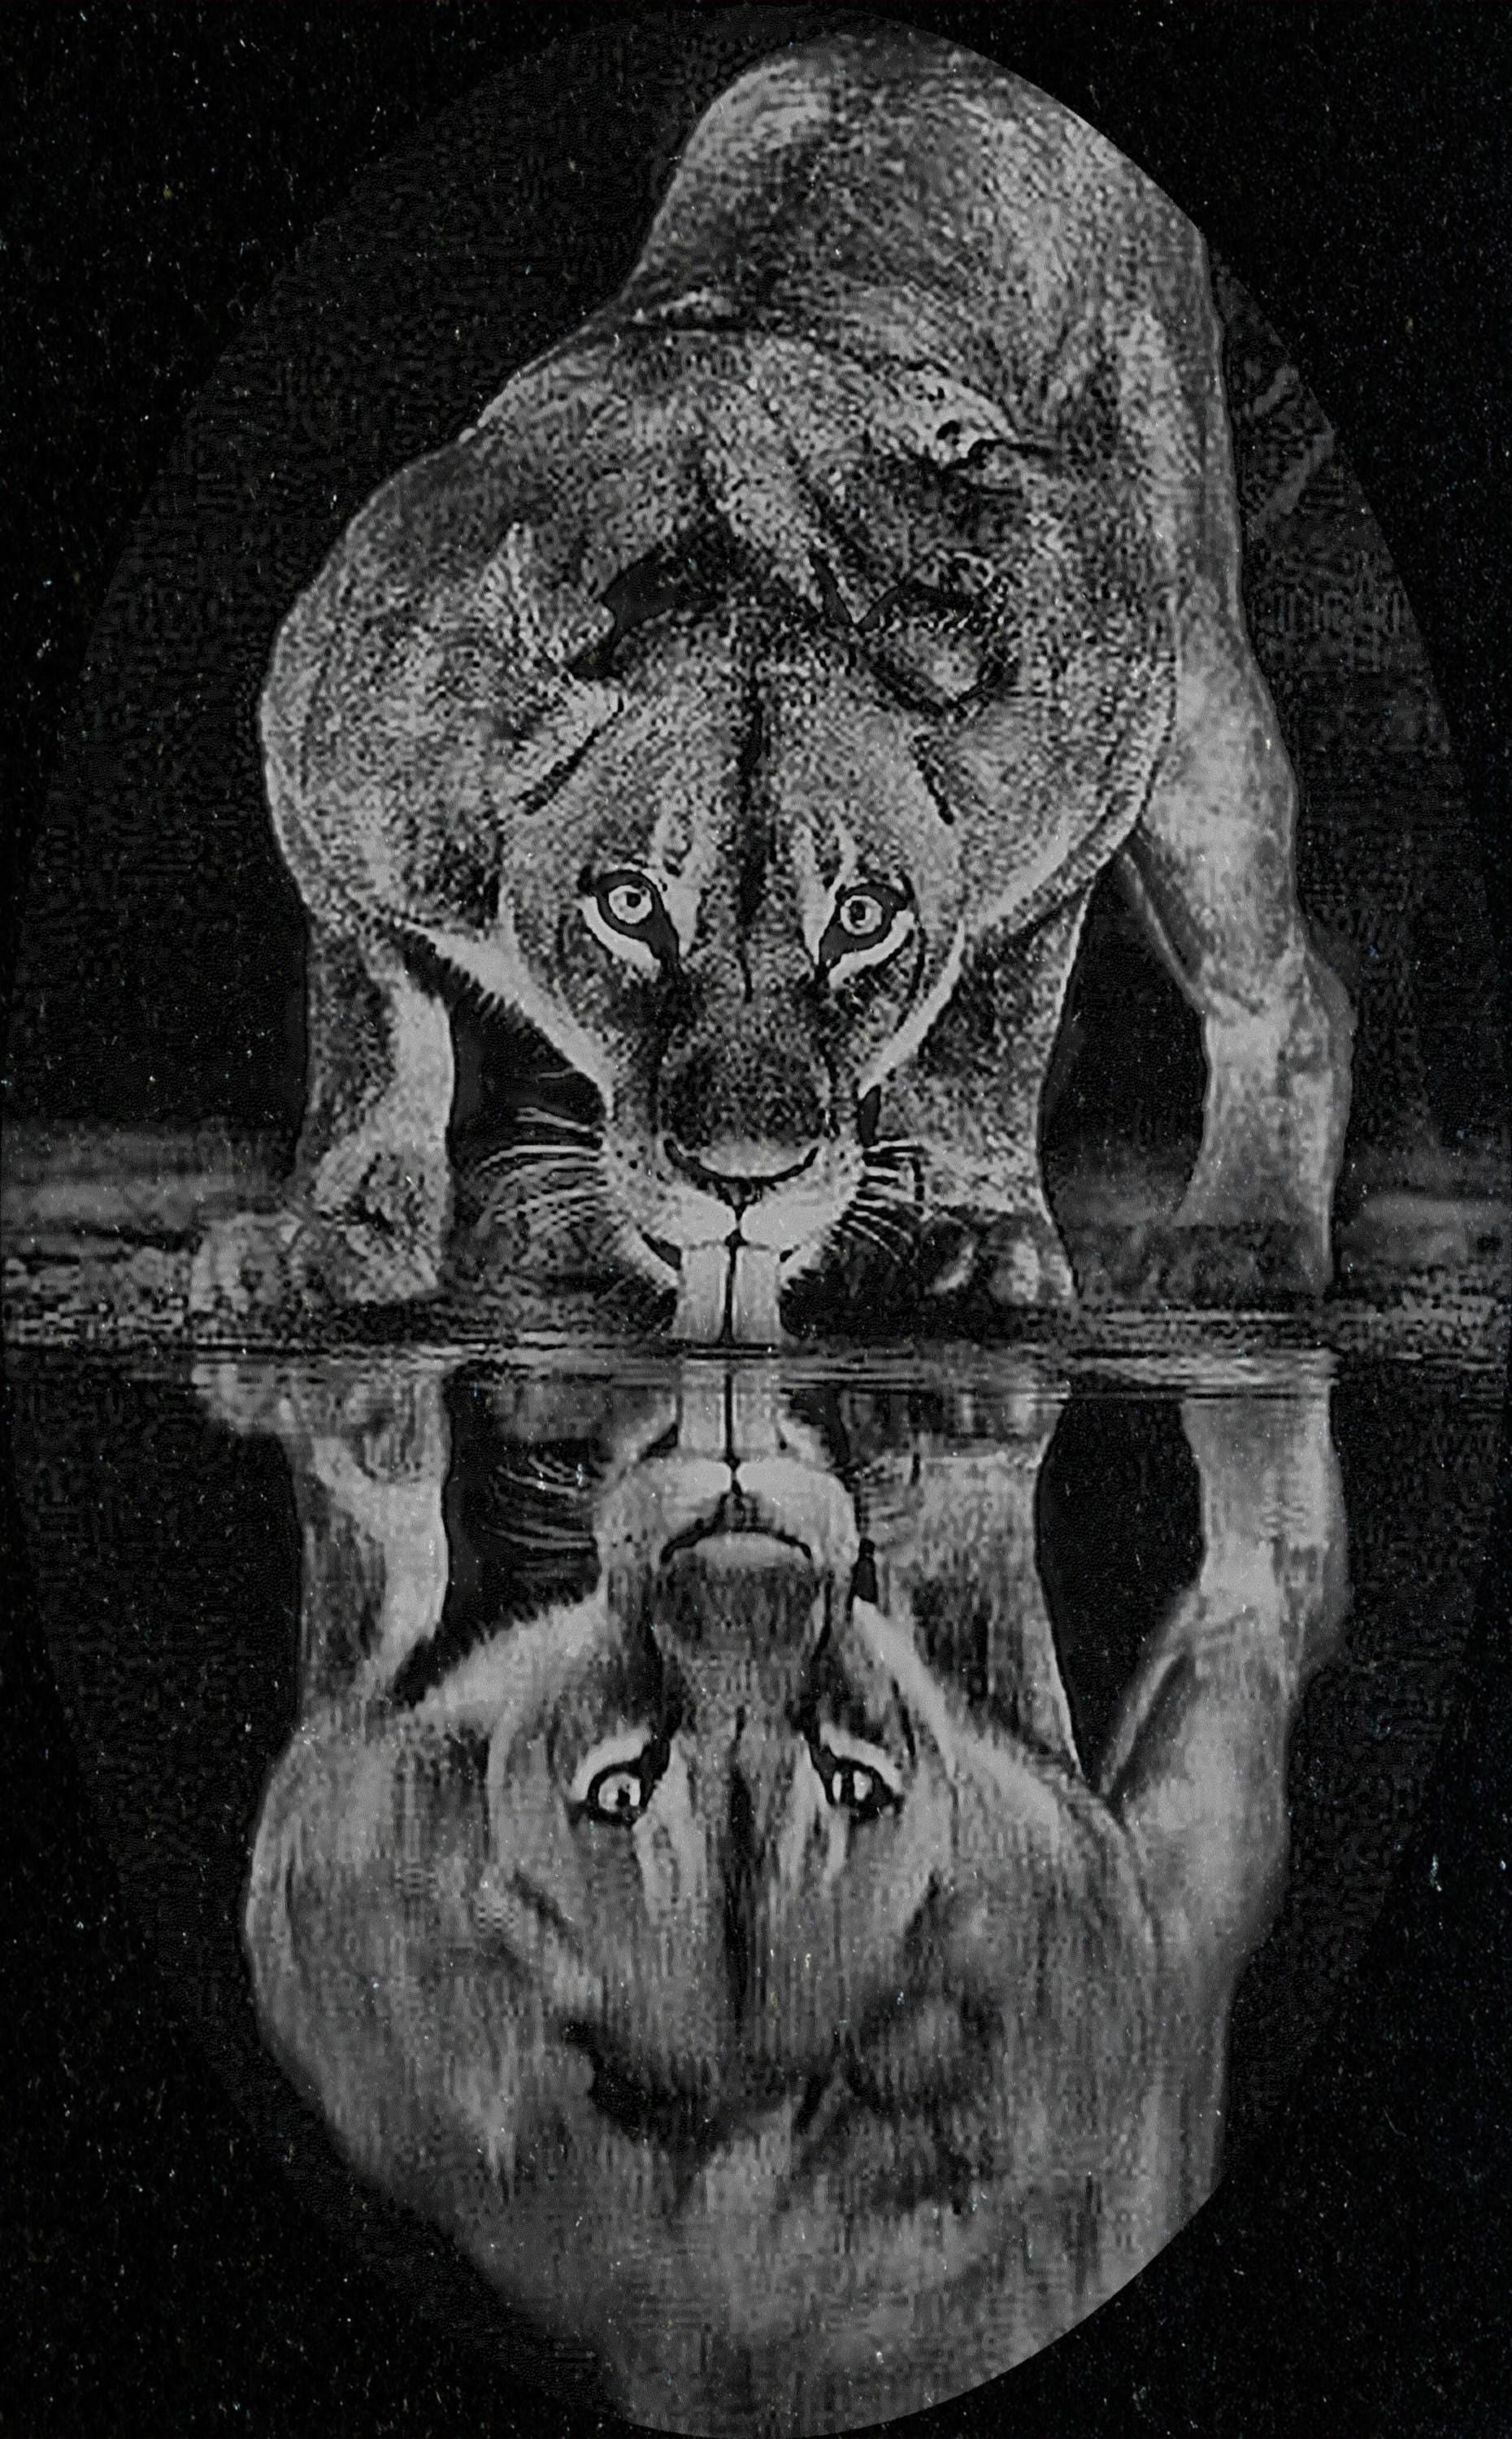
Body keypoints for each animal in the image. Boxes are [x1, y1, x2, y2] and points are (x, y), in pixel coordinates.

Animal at [191, 27, 1352, 1343]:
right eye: (629, 905)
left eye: (863, 919)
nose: (743, 1181)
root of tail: (919, 44)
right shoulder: (329, 775)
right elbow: (376, 1031)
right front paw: (336, 1239)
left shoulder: (1099, 687)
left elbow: (990, 1024)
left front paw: (971, 1233)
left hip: (1199, 699)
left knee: (1291, 993)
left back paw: (1245, 1233)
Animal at [202, 1350, 1347, 2432]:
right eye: (623, 1787)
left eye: (852, 1779)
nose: (745, 1551)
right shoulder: (342, 1910)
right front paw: (364, 1419)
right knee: (1268, 1592)